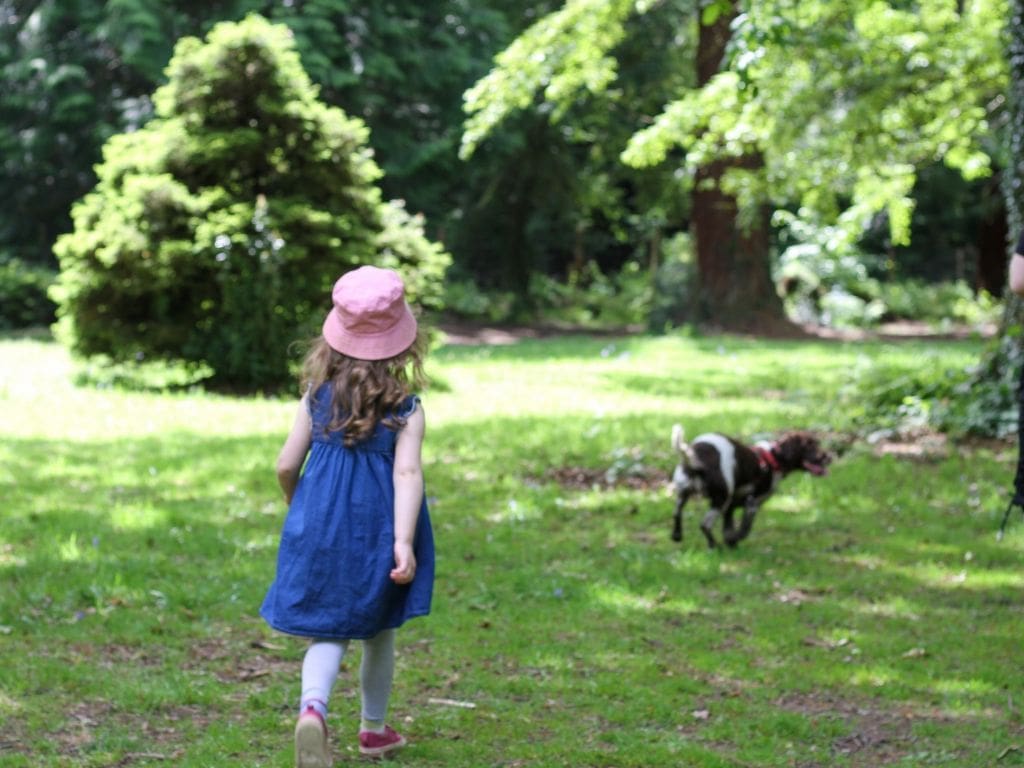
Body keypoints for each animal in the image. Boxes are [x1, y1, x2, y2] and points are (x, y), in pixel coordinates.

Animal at [671, 428, 831, 548]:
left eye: (817, 443)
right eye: (809, 445)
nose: (829, 457)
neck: (774, 459)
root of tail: (695, 458)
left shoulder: (731, 506)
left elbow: (728, 529)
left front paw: (731, 543)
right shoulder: (752, 503)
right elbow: (744, 530)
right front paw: (734, 540)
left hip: (683, 493)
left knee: (677, 513)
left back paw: (677, 536)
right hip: (721, 497)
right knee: (705, 525)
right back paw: (714, 546)